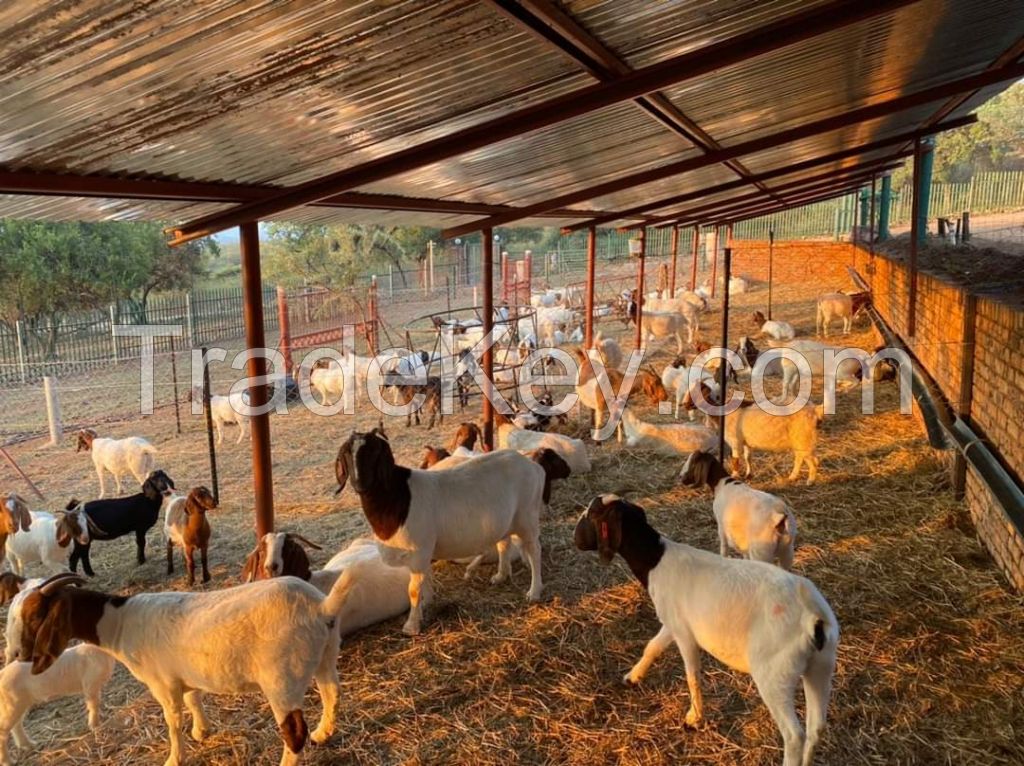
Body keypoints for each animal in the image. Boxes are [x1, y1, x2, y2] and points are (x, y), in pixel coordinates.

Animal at [573, 497, 835, 766]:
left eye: (592, 514)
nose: (576, 539)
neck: (656, 560)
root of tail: (812, 616)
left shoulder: (685, 635)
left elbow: (692, 675)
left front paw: (694, 718)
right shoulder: (674, 623)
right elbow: (652, 647)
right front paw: (633, 677)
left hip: (775, 674)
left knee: (794, 735)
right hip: (820, 666)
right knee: (817, 727)